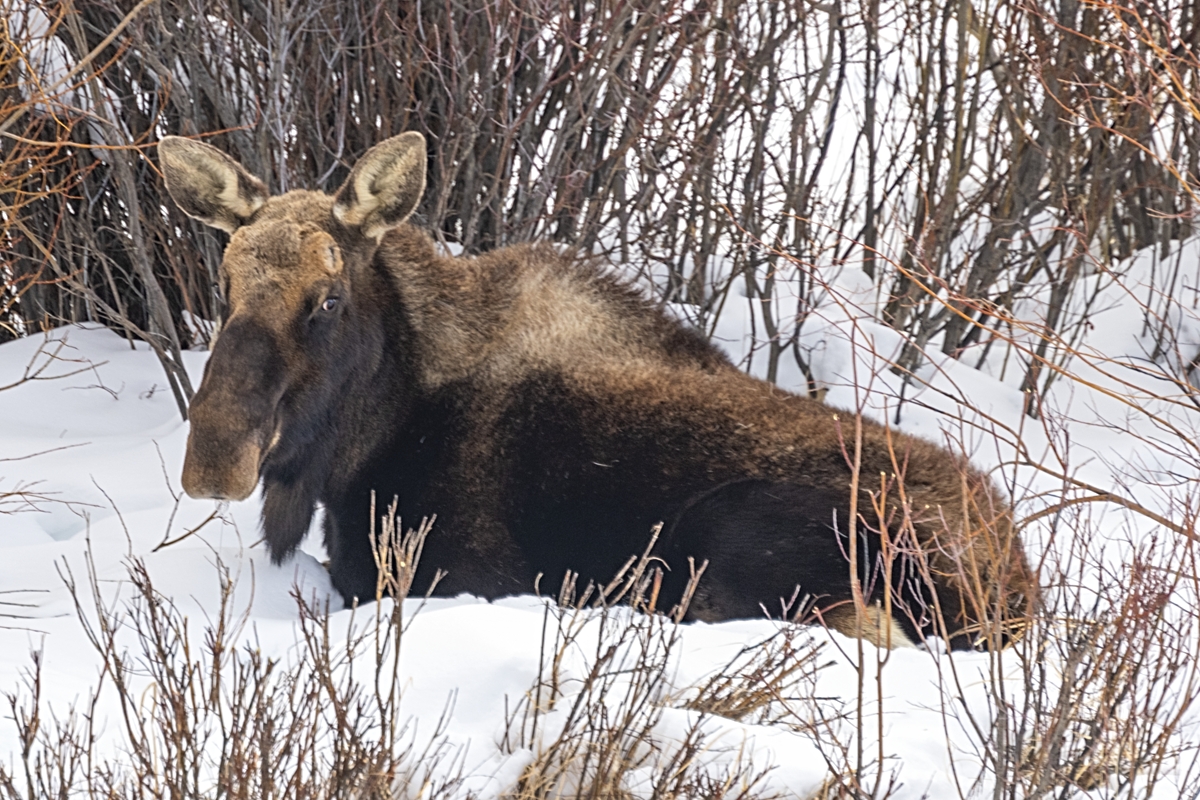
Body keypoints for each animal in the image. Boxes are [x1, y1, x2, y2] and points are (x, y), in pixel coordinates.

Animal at [159, 130, 1036, 642]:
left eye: (328, 299)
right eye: (226, 287)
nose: (215, 461)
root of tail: (1014, 581)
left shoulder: (454, 579)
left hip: (735, 540)